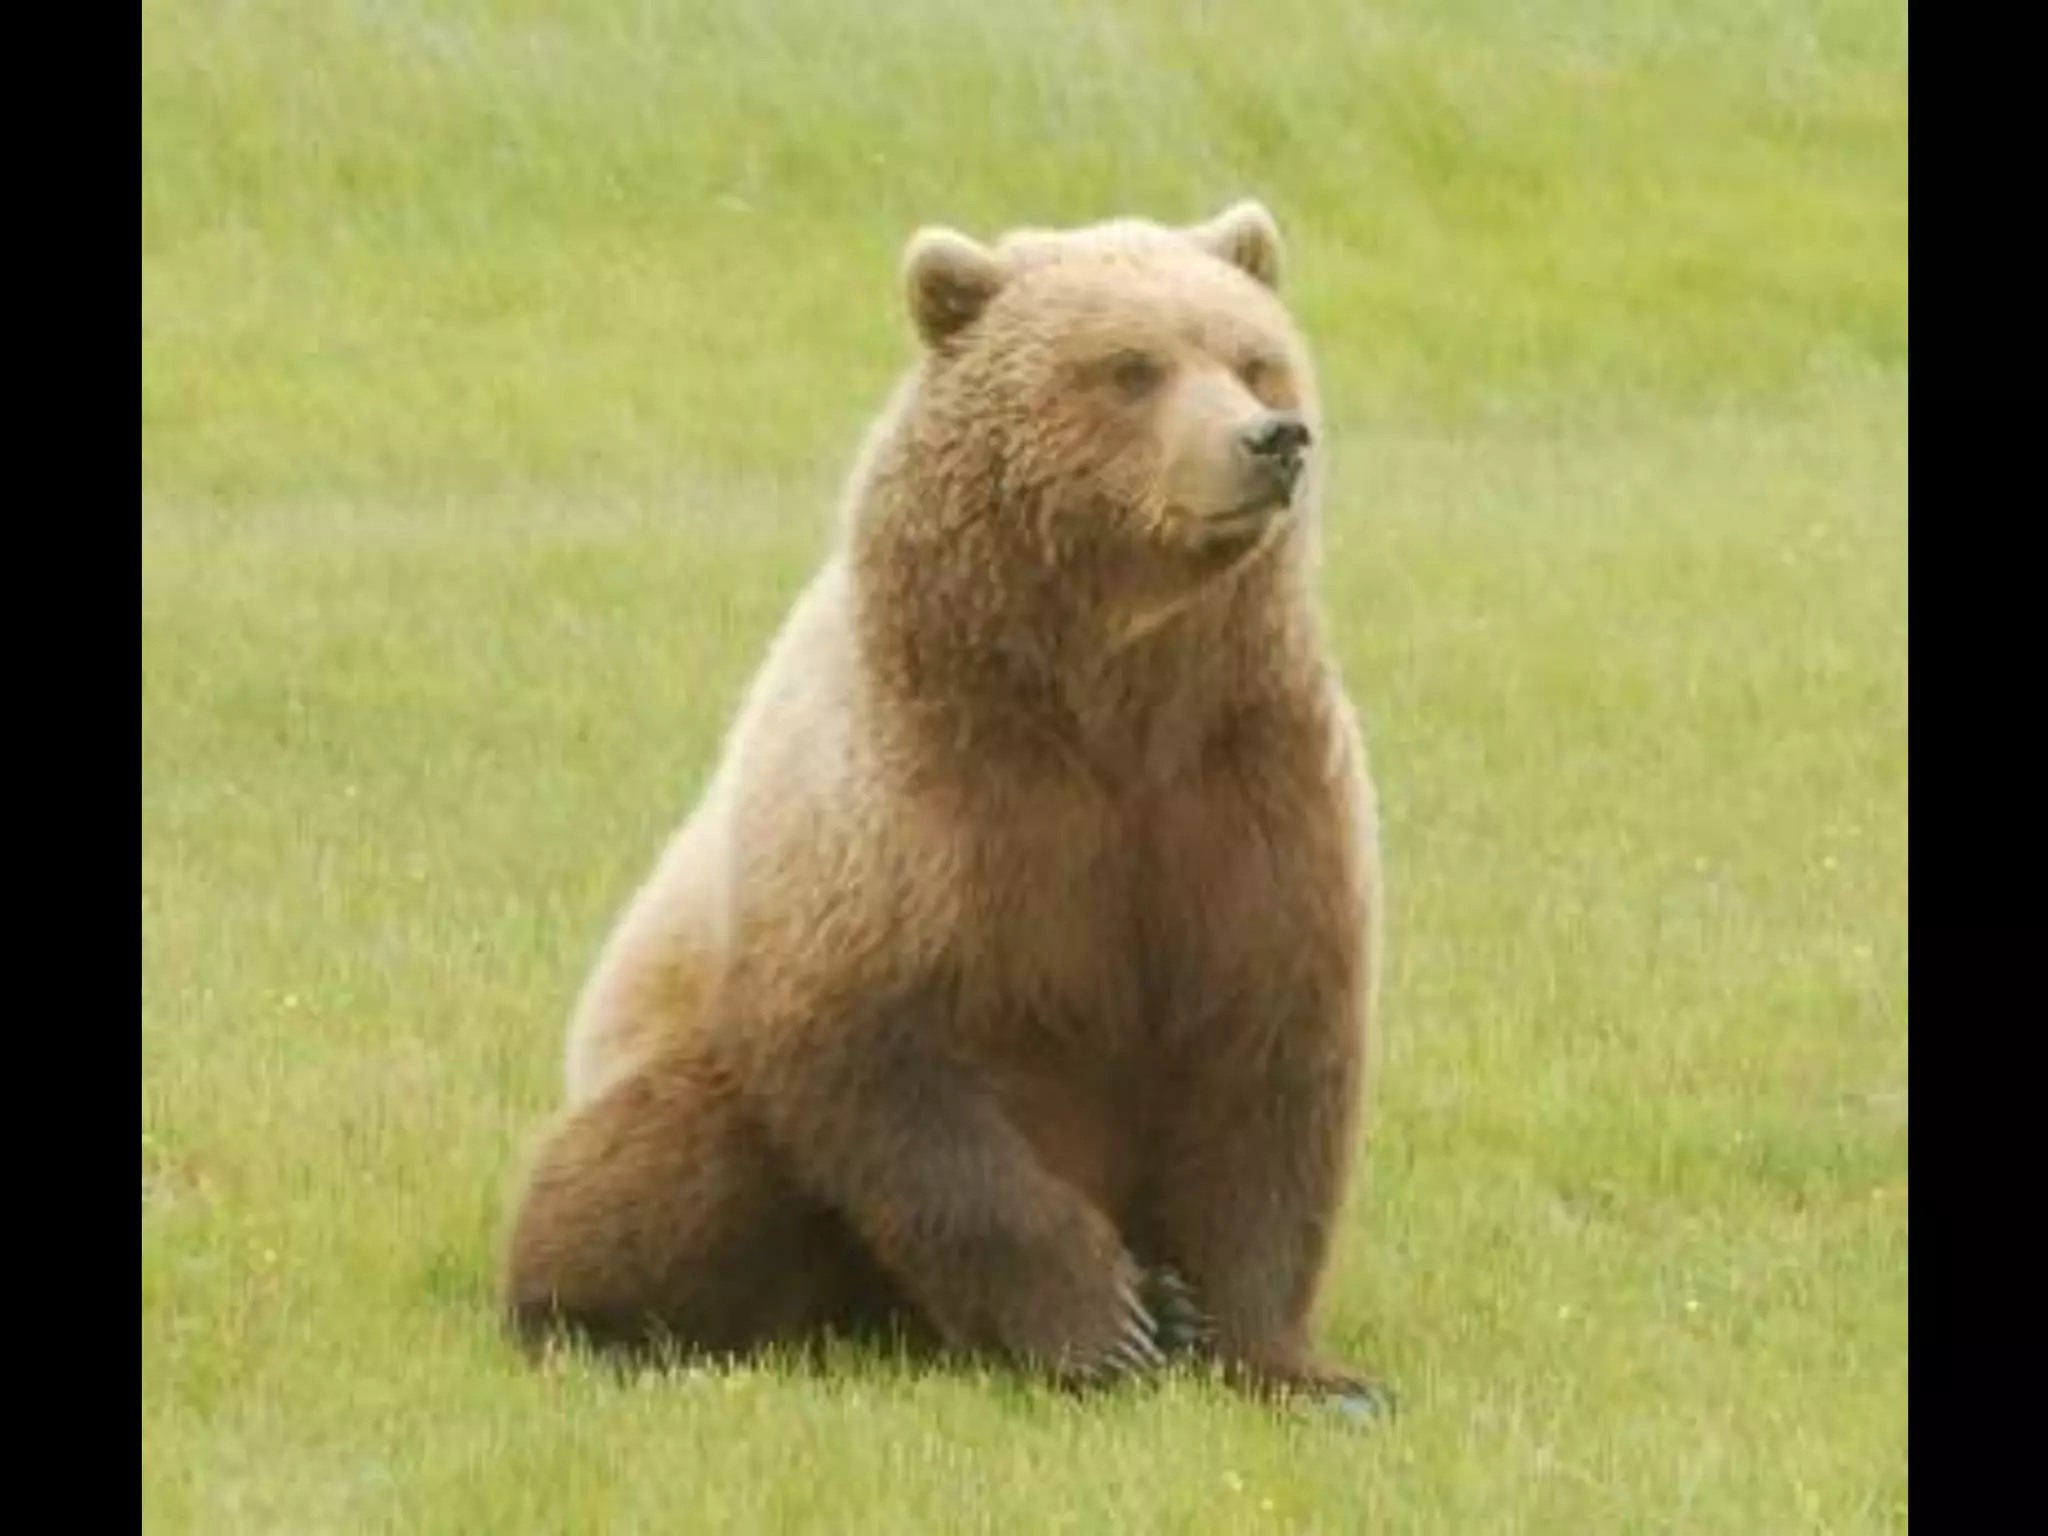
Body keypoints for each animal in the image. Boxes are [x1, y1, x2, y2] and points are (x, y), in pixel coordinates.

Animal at [500, 200, 1387, 1410]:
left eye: (1253, 357)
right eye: (1131, 367)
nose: (1270, 439)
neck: (1110, 695)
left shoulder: (1245, 787)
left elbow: (1268, 1064)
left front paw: (1296, 1366)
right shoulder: (919, 803)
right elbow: (884, 1057)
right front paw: (1103, 1323)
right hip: (675, 1066)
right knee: (672, 1152)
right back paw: (601, 1324)